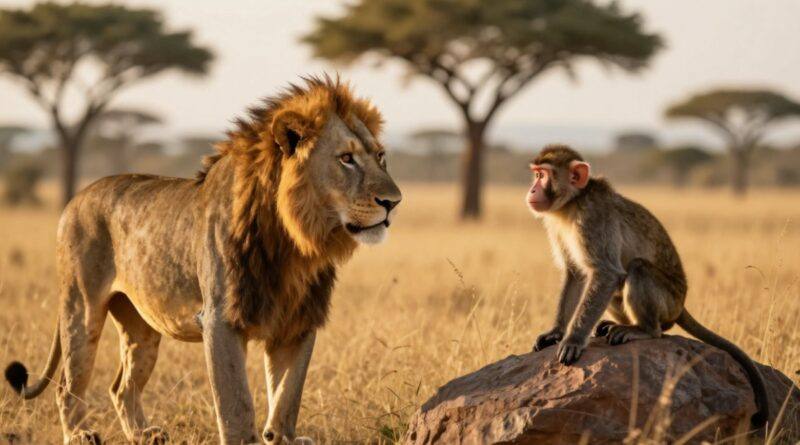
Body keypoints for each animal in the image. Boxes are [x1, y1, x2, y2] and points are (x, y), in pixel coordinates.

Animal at [4, 75, 401, 445]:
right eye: (346, 159)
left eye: (381, 156)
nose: (393, 202)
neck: (295, 243)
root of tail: (75, 197)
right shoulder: (221, 320)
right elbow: (236, 404)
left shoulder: (299, 321)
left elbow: (288, 396)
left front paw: (282, 437)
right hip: (81, 308)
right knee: (68, 383)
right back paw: (80, 434)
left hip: (141, 327)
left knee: (121, 386)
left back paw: (145, 434)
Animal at [525, 144, 769, 428]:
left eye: (543, 175)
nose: (532, 189)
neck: (573, 202)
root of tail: (681, 303)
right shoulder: (557, 225)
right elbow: (575, 274)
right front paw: (556, 332)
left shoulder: (593, 218)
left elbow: (606, 273)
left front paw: (573, 340)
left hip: (668, 300)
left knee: (637, 270)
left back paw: (644, 330)